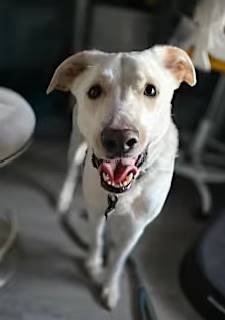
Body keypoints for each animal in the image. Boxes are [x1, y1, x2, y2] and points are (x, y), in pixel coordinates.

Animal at [47, 46, 195, 308]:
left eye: (151, 90)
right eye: (94, 91)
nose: (119, 139)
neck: (120, 193)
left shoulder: (136, 226)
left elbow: (119, 259)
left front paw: (110, 286)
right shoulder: (95, 211)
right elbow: (96, 239)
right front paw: (94, 264)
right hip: (76, 144)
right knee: (71, 171)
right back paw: (64, 200)